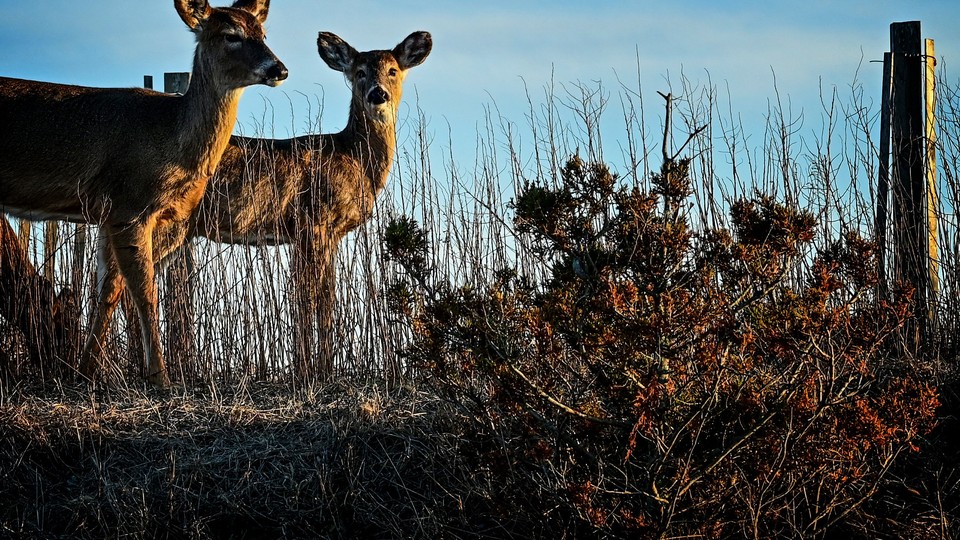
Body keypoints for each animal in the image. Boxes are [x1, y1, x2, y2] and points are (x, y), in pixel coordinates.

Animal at [0, 0, 287, 387]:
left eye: (263, 34)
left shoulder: (109, 214)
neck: (171, 136)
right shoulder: (129, 203)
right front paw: (161, 378)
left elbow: (108, 291)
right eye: (231, 35)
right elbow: (145, 292)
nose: (279, 68)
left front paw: (86, 372)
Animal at [153, 30, 432, 379]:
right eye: (359, 72)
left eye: (393, 70)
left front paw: (320, 367)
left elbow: (325, 296)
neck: (355, 160)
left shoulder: (325, 234)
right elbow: (309, 297)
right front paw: (311, 370)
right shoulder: (313, 220)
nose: (377, 94)